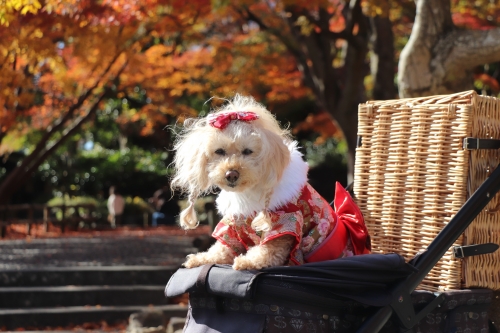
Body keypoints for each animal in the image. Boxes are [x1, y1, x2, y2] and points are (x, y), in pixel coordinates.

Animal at [170, 94, 370, 270]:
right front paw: (199, 258)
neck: (248, 193)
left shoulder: (284, 223)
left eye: (248, 151)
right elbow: (221, 249)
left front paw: (246, 261)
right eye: (219, 151)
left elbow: (268, 253)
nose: (231, 174)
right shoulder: (232, 227)